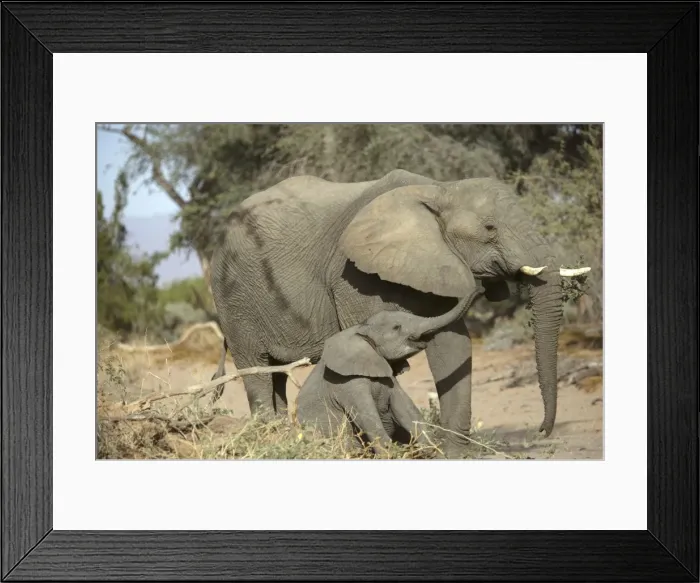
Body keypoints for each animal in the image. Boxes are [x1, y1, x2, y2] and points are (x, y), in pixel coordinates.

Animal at [295, 285, 485, 456]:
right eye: (396, 328)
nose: (480, 289)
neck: (360, 330)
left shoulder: (386, 374)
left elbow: (406, 409)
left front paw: (431, 450)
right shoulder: (347, 383)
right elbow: (368, 417)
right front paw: (390, 453)